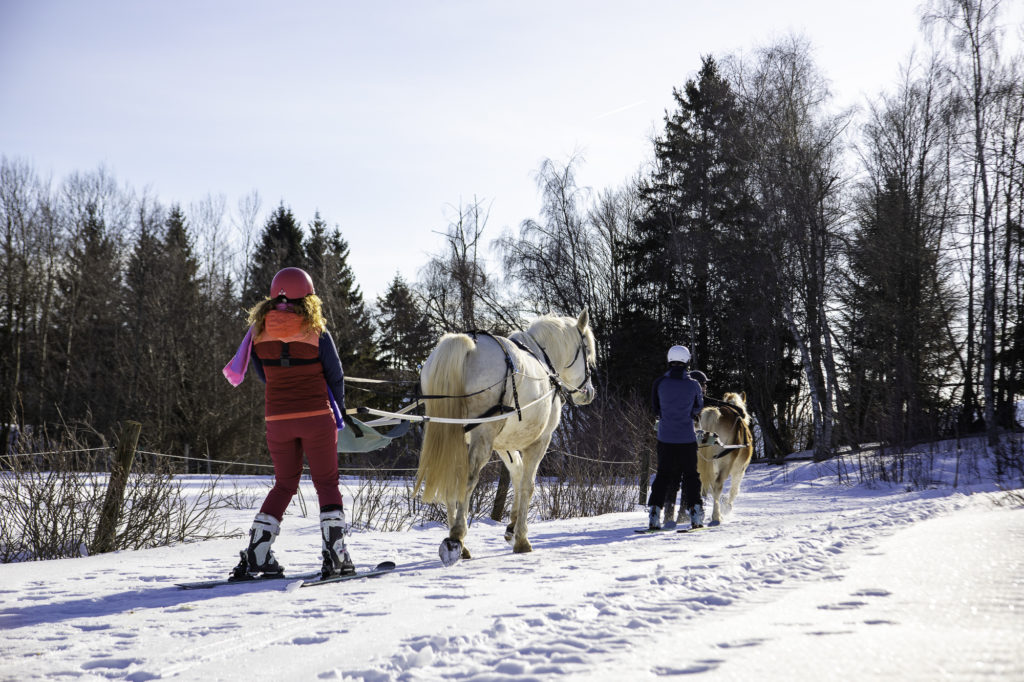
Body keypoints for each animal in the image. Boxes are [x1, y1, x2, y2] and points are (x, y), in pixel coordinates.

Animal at [414, 310, 596, 566]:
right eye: (587, 351)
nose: (588, 392)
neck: (545, 362)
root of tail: (467, 342)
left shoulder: (504, 444)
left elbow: (517, 474)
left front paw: (511, 525)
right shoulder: (540, 441)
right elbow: (528, 484)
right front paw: (521, 539)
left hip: (452, 434)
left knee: (452, 477)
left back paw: (461, 542)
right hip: (481, 434)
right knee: (468, 479)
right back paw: (456, 537)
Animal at [696, 392, 754, 525]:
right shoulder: (740, 470)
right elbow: (734, 489)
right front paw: (727, 507)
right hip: (726, 463)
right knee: (718, 486)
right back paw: (717, 517)